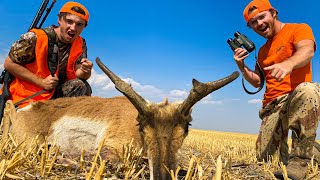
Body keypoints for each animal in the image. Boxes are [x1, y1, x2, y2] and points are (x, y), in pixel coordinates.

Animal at [1, 58, 238, 180]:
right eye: (141, 125)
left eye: (187, 126)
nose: (162, 176)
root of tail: (28, 109)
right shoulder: (111, 147)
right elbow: (119, 161)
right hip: (29, 141)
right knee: (9, 108)